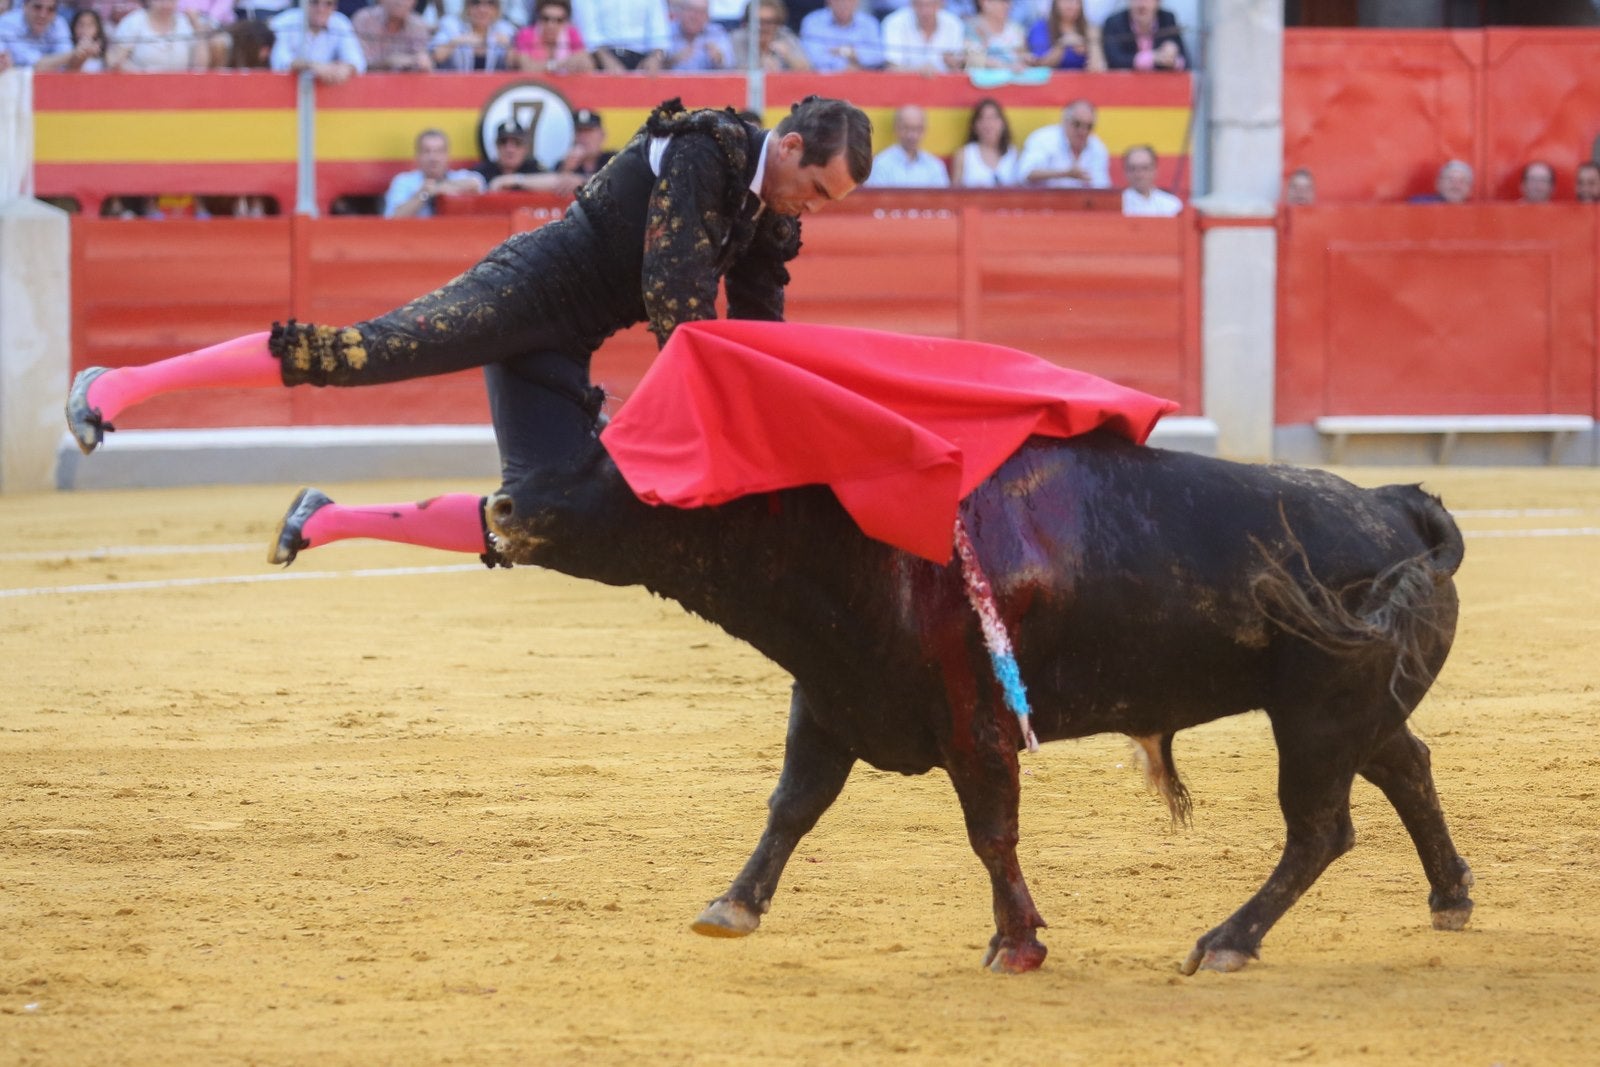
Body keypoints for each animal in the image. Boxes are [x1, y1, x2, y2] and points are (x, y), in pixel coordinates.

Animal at [486, 428, 1472, 972]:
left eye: (617, 463)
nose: (498, 506)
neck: (847, 532)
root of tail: (1397, 504)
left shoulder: (977, 721)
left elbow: (990, 831)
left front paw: (1017, 945)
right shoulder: (831, 696)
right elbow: (792, 805)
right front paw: (732, 906)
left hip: (1318, 716)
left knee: (1321, 829)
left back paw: (1228, 938)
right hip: (1355, 708)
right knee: (1409, 766)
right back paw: (1450, 896)